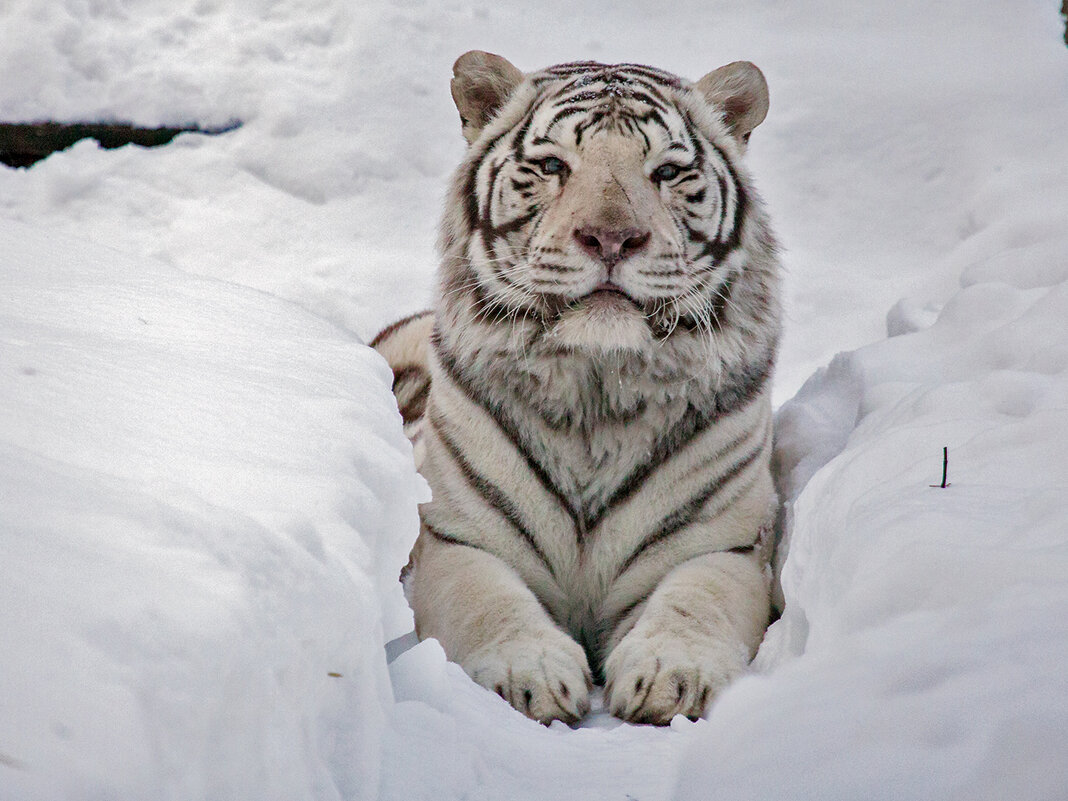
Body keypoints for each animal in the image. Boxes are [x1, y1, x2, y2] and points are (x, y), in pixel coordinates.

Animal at [371, 50, 781, 726]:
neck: (596, 388)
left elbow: (697, 599)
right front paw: (530, 673)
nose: (611, 238)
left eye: (667, 172)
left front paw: (672, 674)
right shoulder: (457, 538)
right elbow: (487, 600)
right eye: (552, 166)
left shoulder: (723, 541)